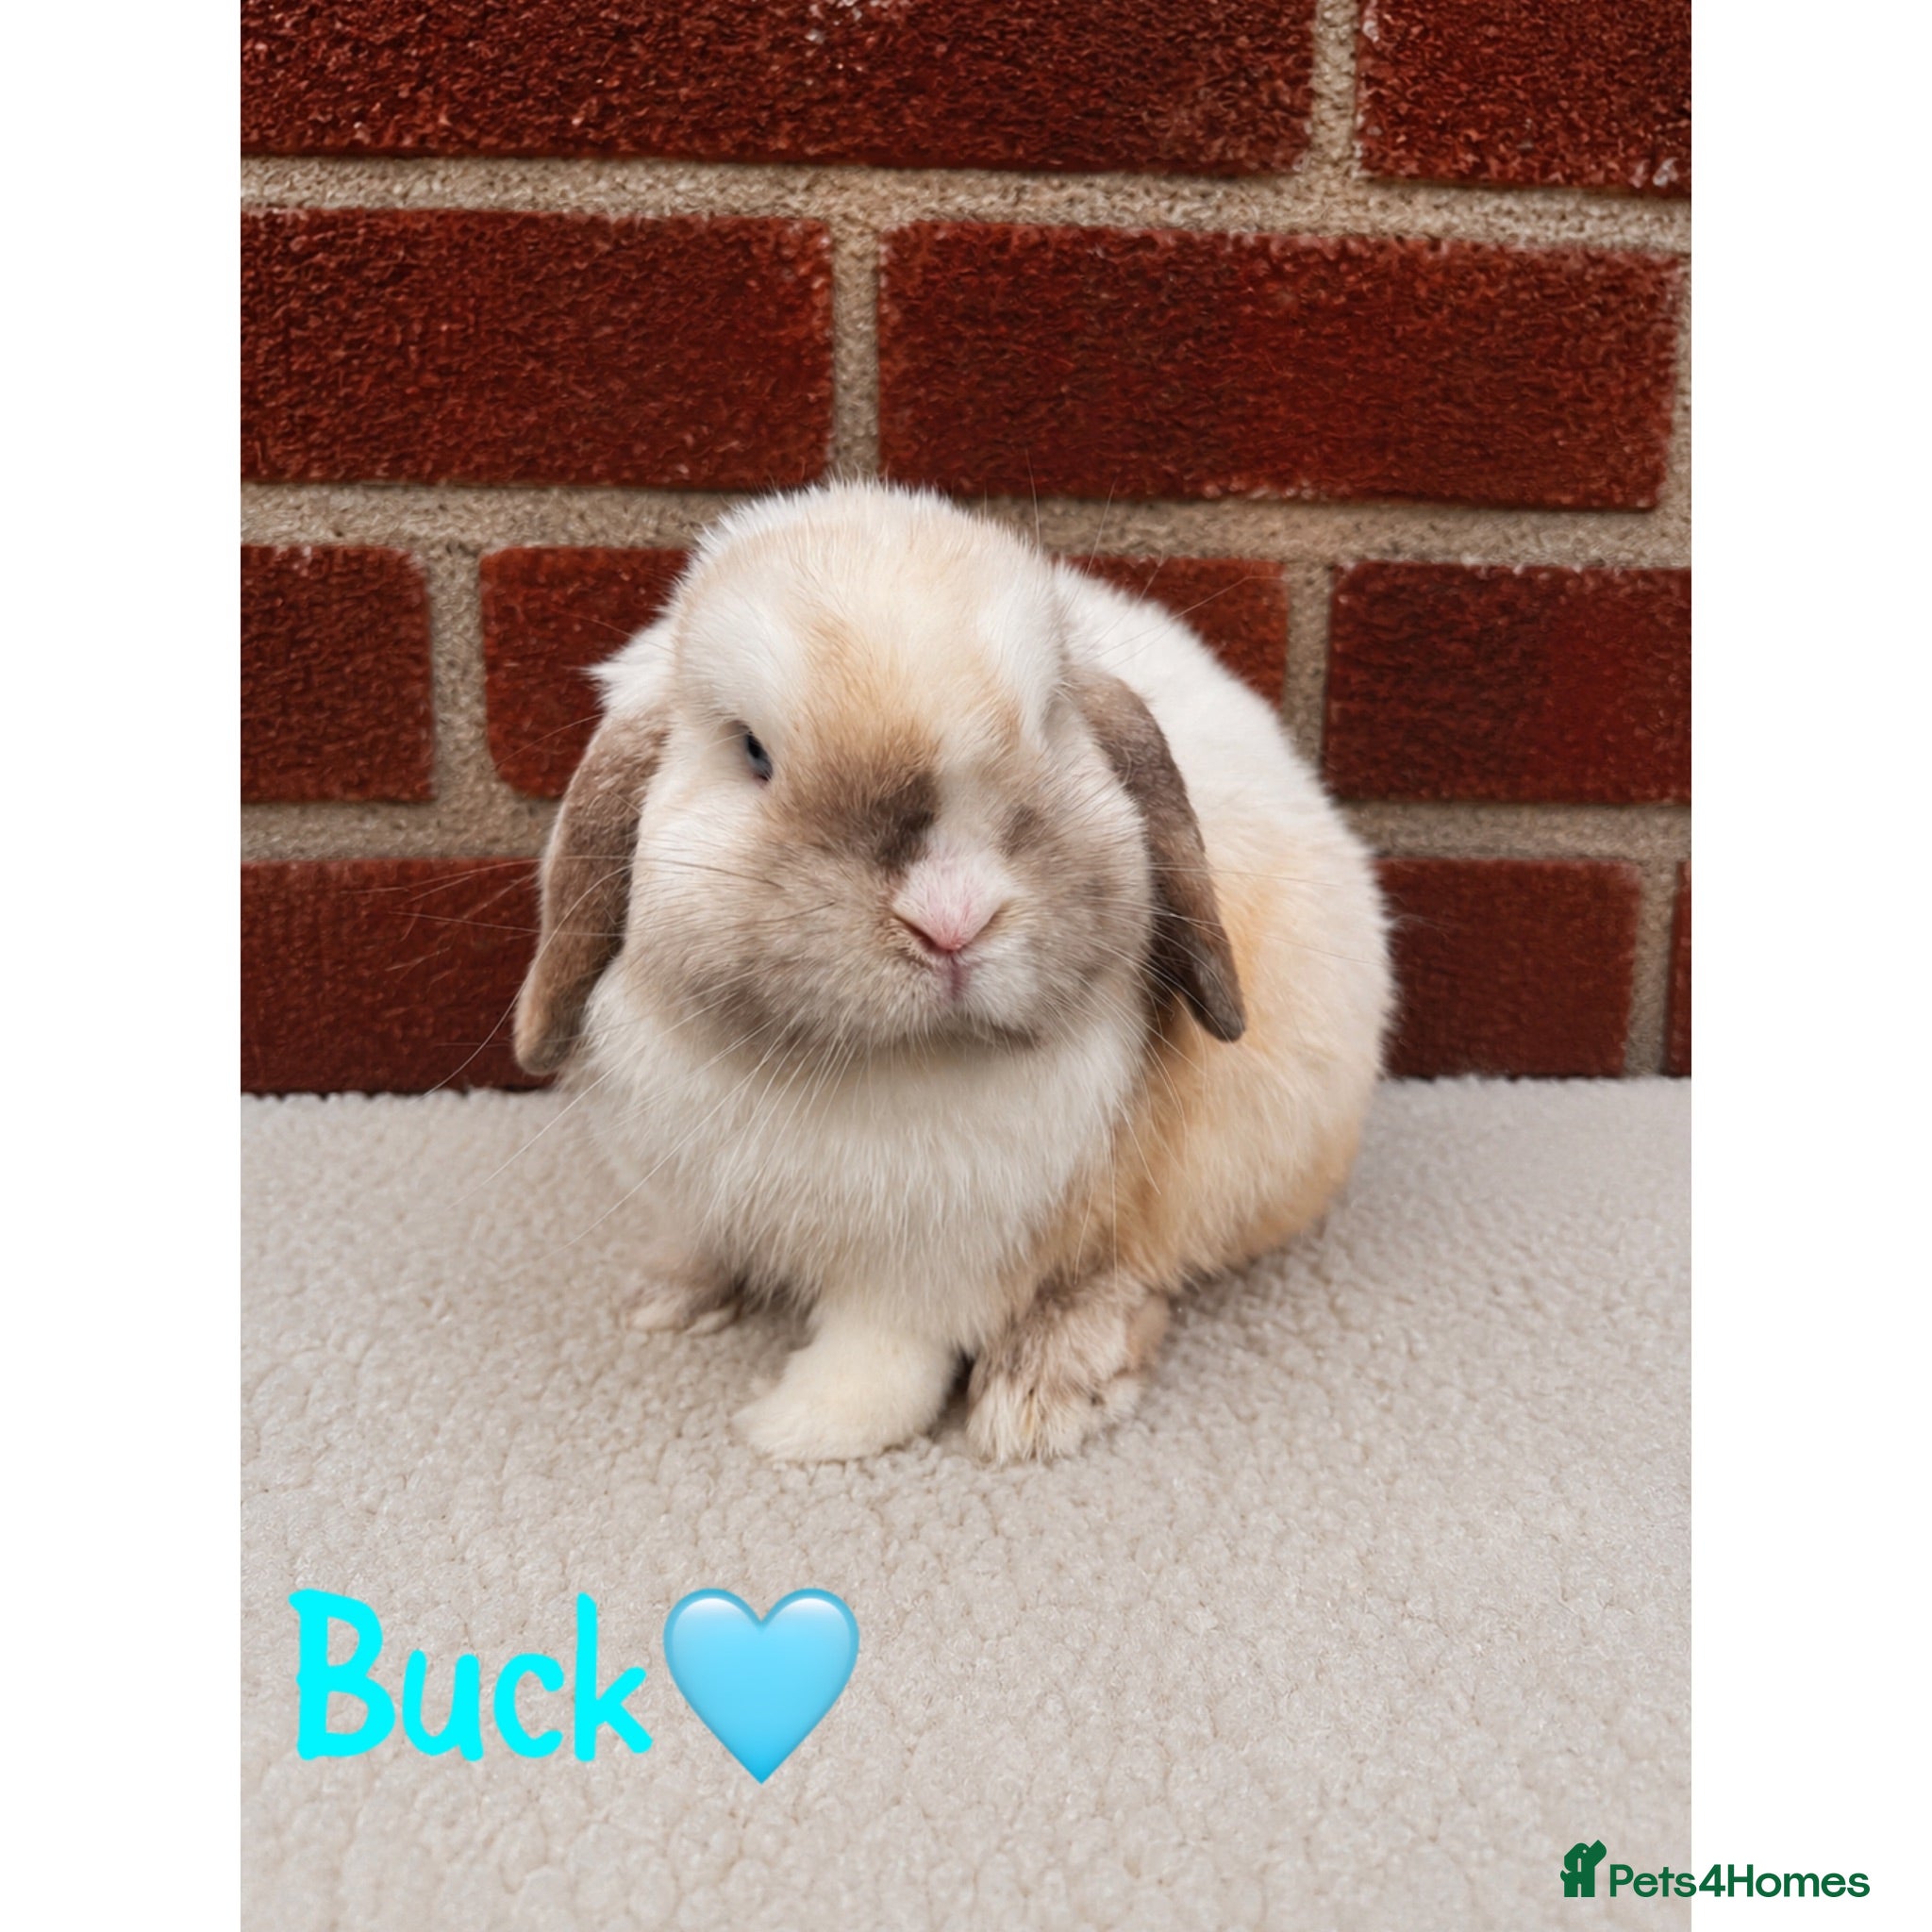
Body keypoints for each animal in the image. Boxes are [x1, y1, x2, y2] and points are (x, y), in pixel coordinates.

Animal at [513, 482, 1391, 1463]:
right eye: (752, 752)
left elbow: (883, 1355)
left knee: (1137, 1276)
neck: (862, 1068)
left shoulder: (934, 1263)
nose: (952, 918)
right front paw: (669, 1295)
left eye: (1050, 725)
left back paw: (1043, 1388)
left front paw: (798, 1428)